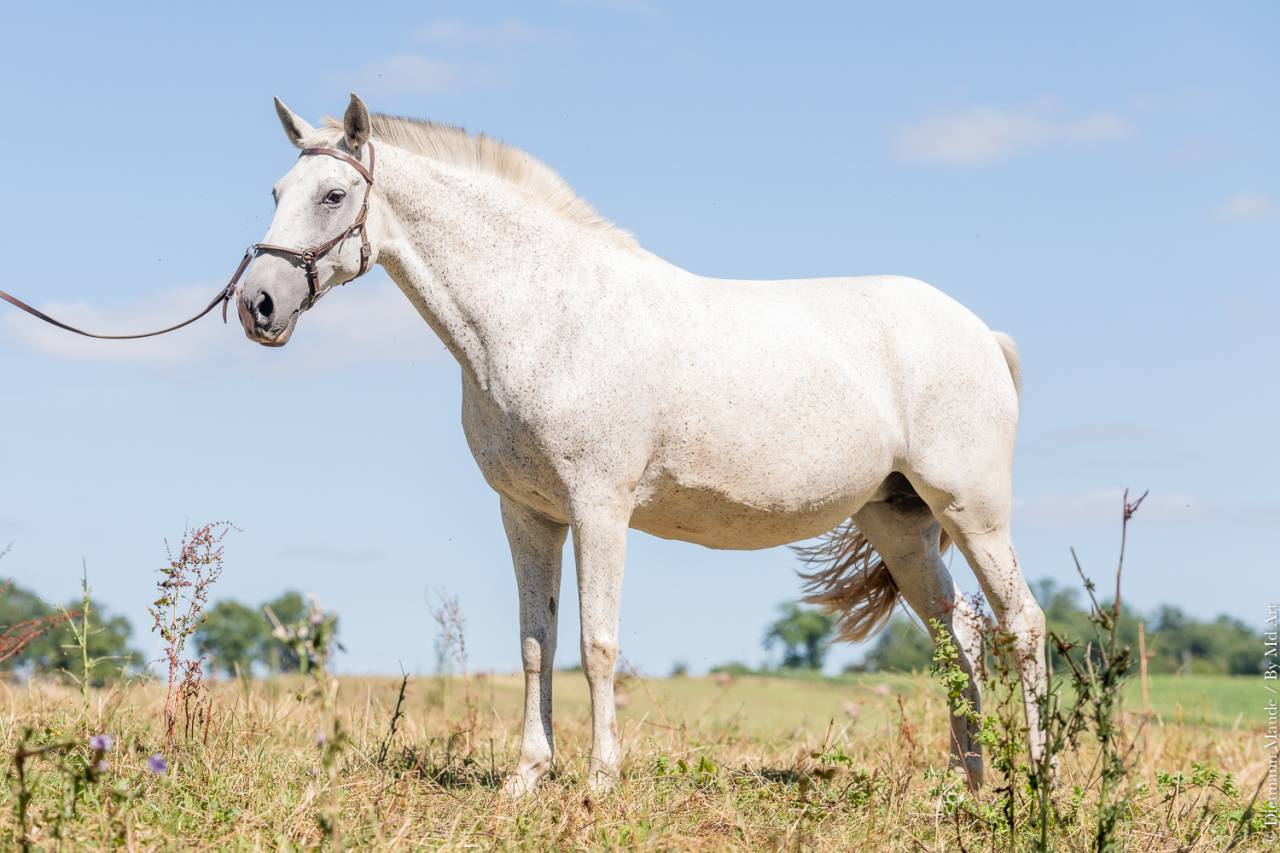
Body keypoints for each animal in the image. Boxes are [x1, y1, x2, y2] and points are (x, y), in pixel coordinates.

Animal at [239, 93, 1047, 797]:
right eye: (277, 189)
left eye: (334, 195)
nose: (257, 304)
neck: (545, 315)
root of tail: (982, 333)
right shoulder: (528, 514)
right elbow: (536, 643)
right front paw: (527, 777)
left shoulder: (599, 508)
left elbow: (597, 644)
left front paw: (600, 780)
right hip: (900, 522)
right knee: (957, 638)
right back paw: (966, 784)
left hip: (972, 512)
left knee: (1022, 626)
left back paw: (1037, 783)